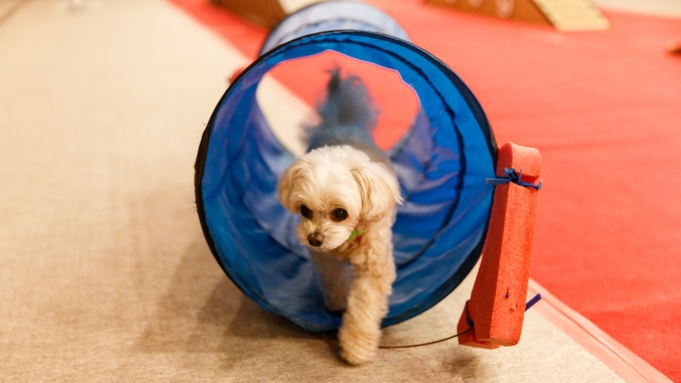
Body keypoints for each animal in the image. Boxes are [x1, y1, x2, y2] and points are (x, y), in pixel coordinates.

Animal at [276, 69, 402, 366]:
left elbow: (364, 308)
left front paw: (356, 347)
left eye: (340, 213)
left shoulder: (373, 269)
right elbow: (333, 280)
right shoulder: (324, 259)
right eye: (305, 210)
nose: (314, 239)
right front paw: (337, 303)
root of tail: (343, 123)